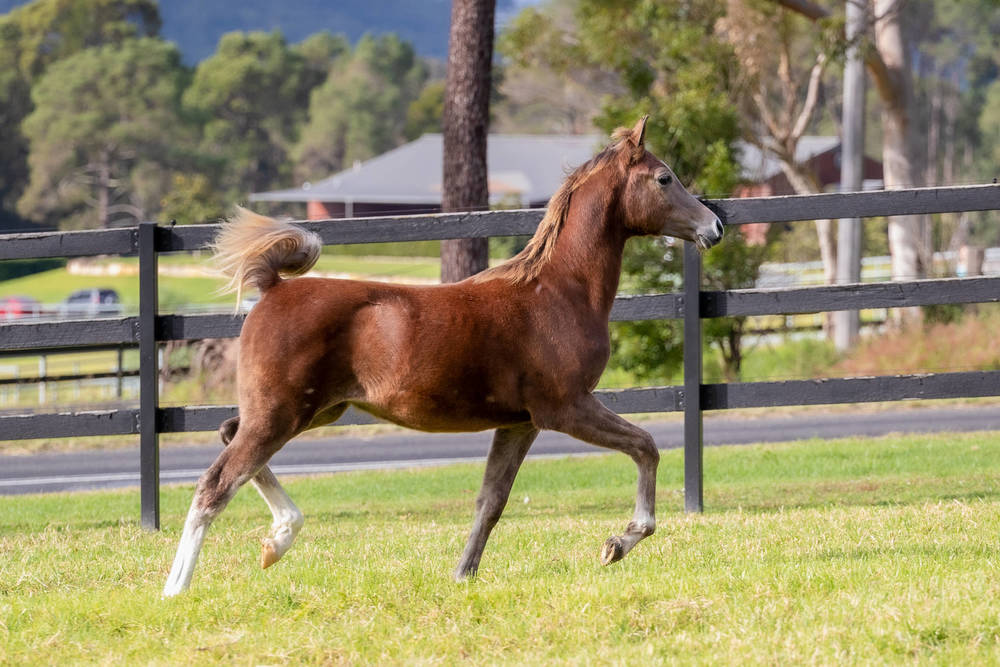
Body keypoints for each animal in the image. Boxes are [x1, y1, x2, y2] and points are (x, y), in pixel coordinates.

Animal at [162, 116, 724, 597]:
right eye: (665, 178)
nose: (714, 227)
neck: (556, 292)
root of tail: (274, 288)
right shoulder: (565, 407)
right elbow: (646, 446)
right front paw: (618, 542)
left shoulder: (519, 422)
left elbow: (491, 500)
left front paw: (462, 575)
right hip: (282, 414)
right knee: (214, 484)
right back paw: (177, 587)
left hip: (312, 411)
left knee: (228, 436)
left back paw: (277, 540)